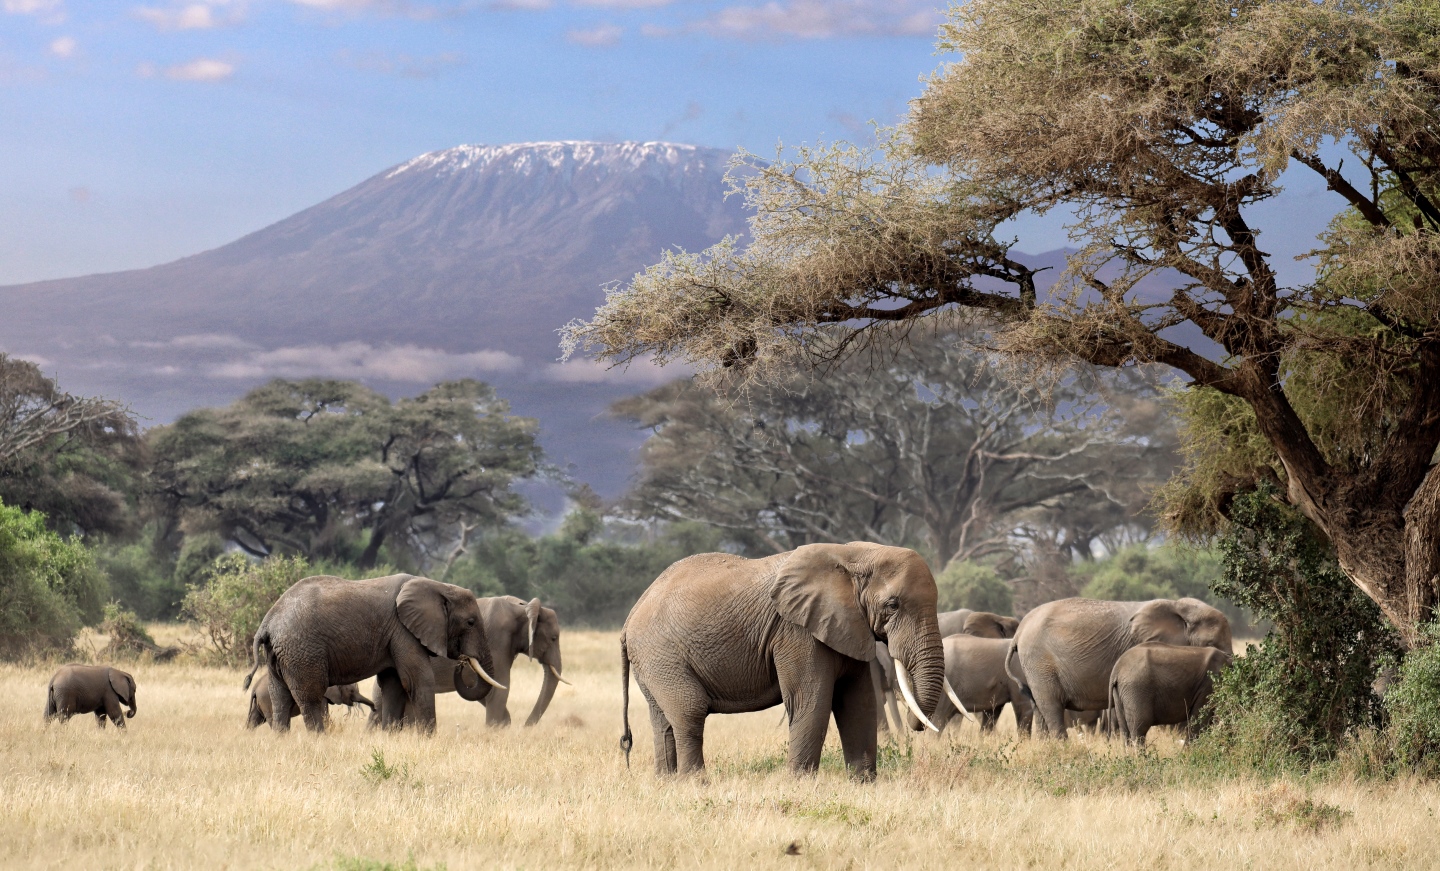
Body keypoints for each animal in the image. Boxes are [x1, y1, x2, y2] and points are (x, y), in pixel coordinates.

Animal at [246, 669, 374, 728]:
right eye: (351, 691)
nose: (374, 708)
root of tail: (255, 687)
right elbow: (324, 714)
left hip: (259, 702)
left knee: (254, 720)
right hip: (266, 699)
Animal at [369, 595, 567, 729]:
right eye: (554, 638)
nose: (525, 727)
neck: (522, 607)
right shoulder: (498, 642)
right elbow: (500, 688)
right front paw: (495, 730)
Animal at [620, 542, 948, 779]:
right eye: (893, 605)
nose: (916, 726)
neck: (853, 554)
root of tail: (631, 615)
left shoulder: (848, 626)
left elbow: (858, 701)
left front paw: (863, 783)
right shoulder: (797, 631)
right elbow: (811, 700)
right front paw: (799, 784)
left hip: (653, 660)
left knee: (662, 719)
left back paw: (667, 782)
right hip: (660, 653)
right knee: (689, 710)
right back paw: (695, 782)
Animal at [1008, 597, 1231, 739]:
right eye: (1211, 643)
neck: (1180, 607)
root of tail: (1020, 630)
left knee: (1040, 709)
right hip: (1040, 662)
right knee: (1051, 707)